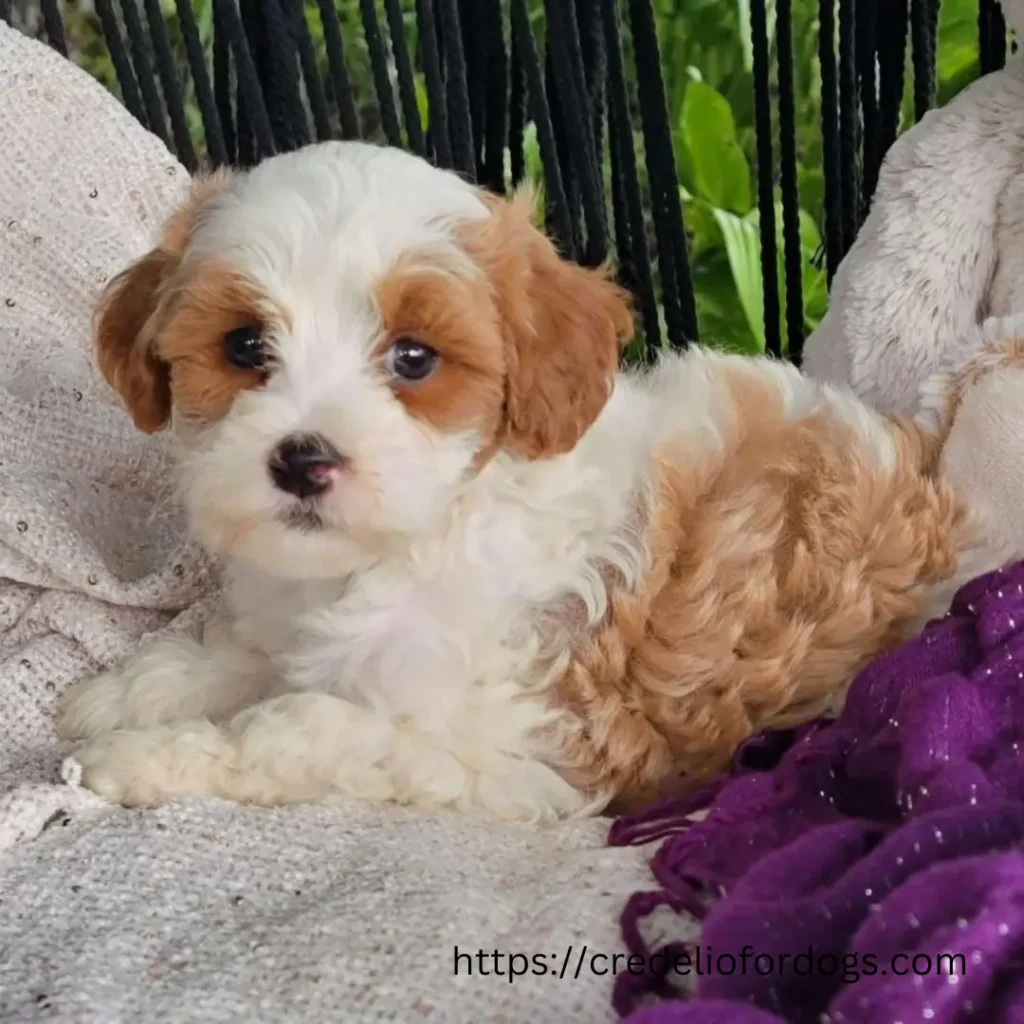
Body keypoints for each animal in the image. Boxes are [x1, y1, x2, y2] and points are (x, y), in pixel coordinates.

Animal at [54, 140, 999, 819]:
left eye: (414, 358)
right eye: (244, 346)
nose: (302, 458)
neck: (414, 540)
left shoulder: (518, 742)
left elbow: (300, 729)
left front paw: (144, 756)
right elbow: (239, 655)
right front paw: (126, 695)